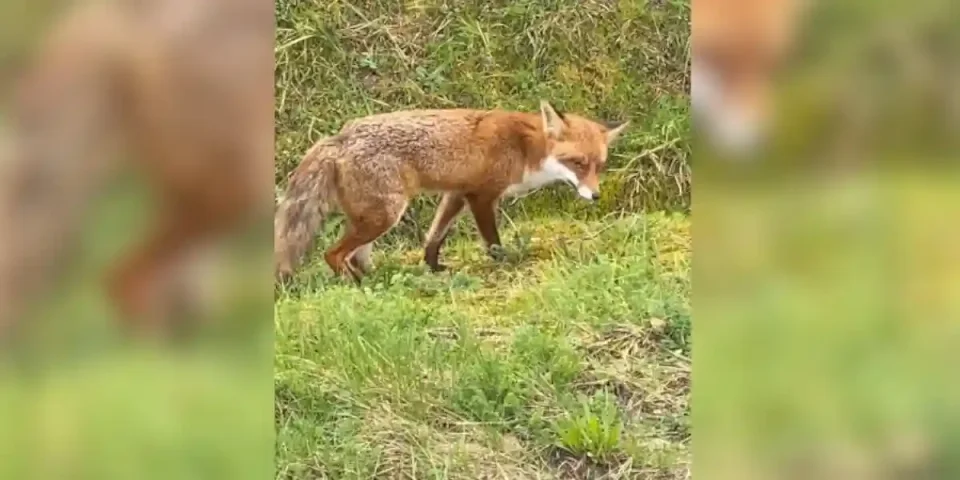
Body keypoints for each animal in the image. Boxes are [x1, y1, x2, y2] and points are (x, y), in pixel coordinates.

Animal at [274, 101, 629, 282]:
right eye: (578, 163)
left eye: (600, 166)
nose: (595, 196)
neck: (524, 148)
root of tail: (340, 136)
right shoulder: (481, 196)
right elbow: (493, 242)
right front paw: (506, 264)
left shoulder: (457, 193)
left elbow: (434, 237)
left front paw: (433, 269)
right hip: (384, 216)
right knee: (332, 254)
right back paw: (355, 285)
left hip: (372, 218)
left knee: (355, 256)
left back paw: (378, 278)